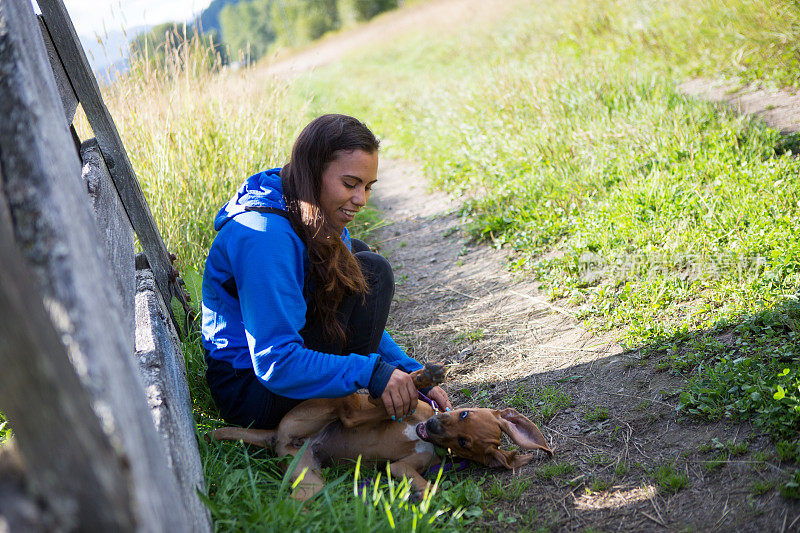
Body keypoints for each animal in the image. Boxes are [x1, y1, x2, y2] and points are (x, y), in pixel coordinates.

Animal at [209, 364, 552, 500]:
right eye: (463, 413)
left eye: (463, 442)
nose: (433, 426)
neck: (421, 434)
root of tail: (275, 436)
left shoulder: (400, 467)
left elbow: (428, 486)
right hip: (317, 405)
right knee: (355, 404)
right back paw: (417, 377)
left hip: (308, 478)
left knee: (349, 416)